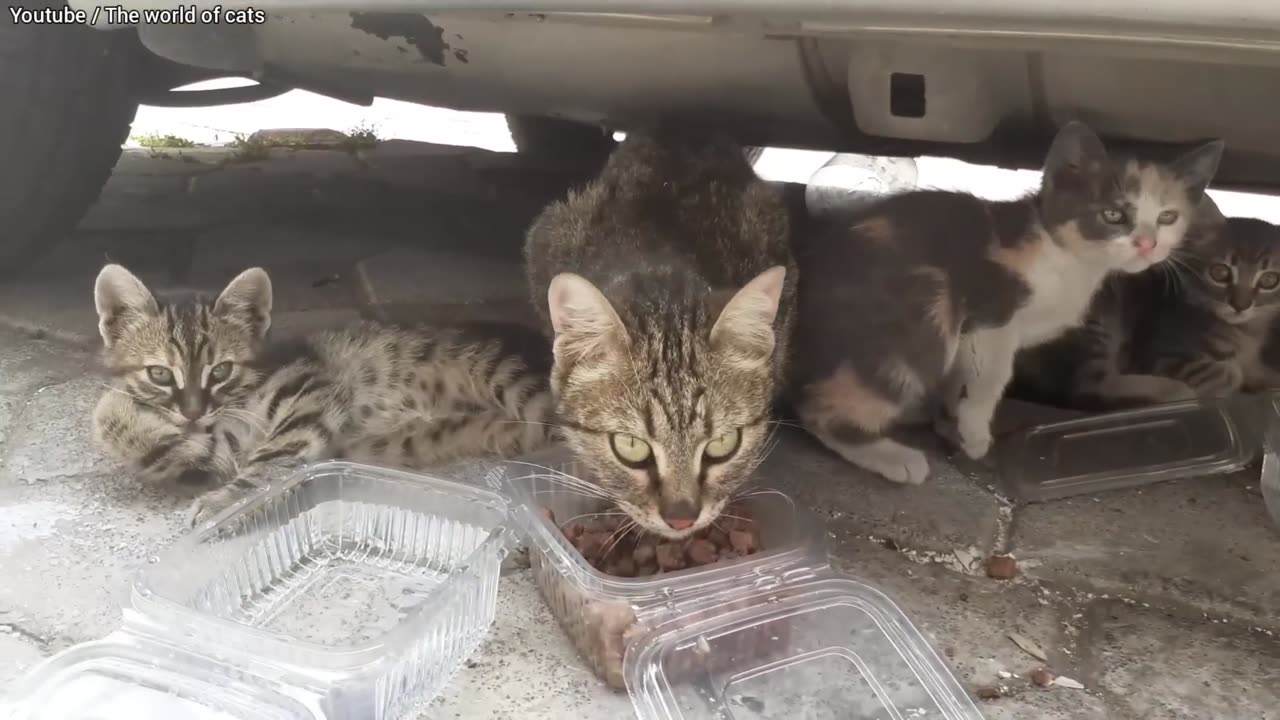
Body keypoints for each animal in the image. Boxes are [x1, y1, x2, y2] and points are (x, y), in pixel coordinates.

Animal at [94, 262, 555, 520]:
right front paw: (124, 412)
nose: (191, 412)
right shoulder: (226, 441)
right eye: (159, 373)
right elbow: (124, 428)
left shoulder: (311, 389)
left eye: (221, 370)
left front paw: (223, 503)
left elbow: (270, 459)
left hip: (507, 372)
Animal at [788, 121, 1218, 481]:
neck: (1064, 258)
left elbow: (960, 379)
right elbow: (992, 374)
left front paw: (954, 424)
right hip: (923, 315)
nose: (1147, 245)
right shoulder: (990, 312)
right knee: (814, 409)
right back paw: (893, 456)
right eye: (1113, 214)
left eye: (1167, 217)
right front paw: (976, 431)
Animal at [1008, 208, 1280, 409]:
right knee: (1086, 388)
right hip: (1098, 321)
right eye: (1220, 273)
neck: (1244, 332)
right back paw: (1173, 391)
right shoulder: (1157, 356)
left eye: (1269, 280)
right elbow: (1230, 373)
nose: (1240, 305)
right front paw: (1232, 378)